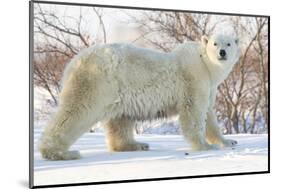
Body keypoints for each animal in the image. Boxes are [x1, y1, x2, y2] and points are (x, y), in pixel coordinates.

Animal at [38, 34, 238, 160]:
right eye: (215, 43)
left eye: (229, 43)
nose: (222, 53)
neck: (205, 64)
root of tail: (73, 63)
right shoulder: (193, 79)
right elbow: (194, 112)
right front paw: (205, 146)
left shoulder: (209, 86)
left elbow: (209, 115)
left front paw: (229, 141)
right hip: (97, 81)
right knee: (76, 111)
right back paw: (60, 152)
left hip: (117, 91)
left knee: (120, 119)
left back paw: (137, 145)